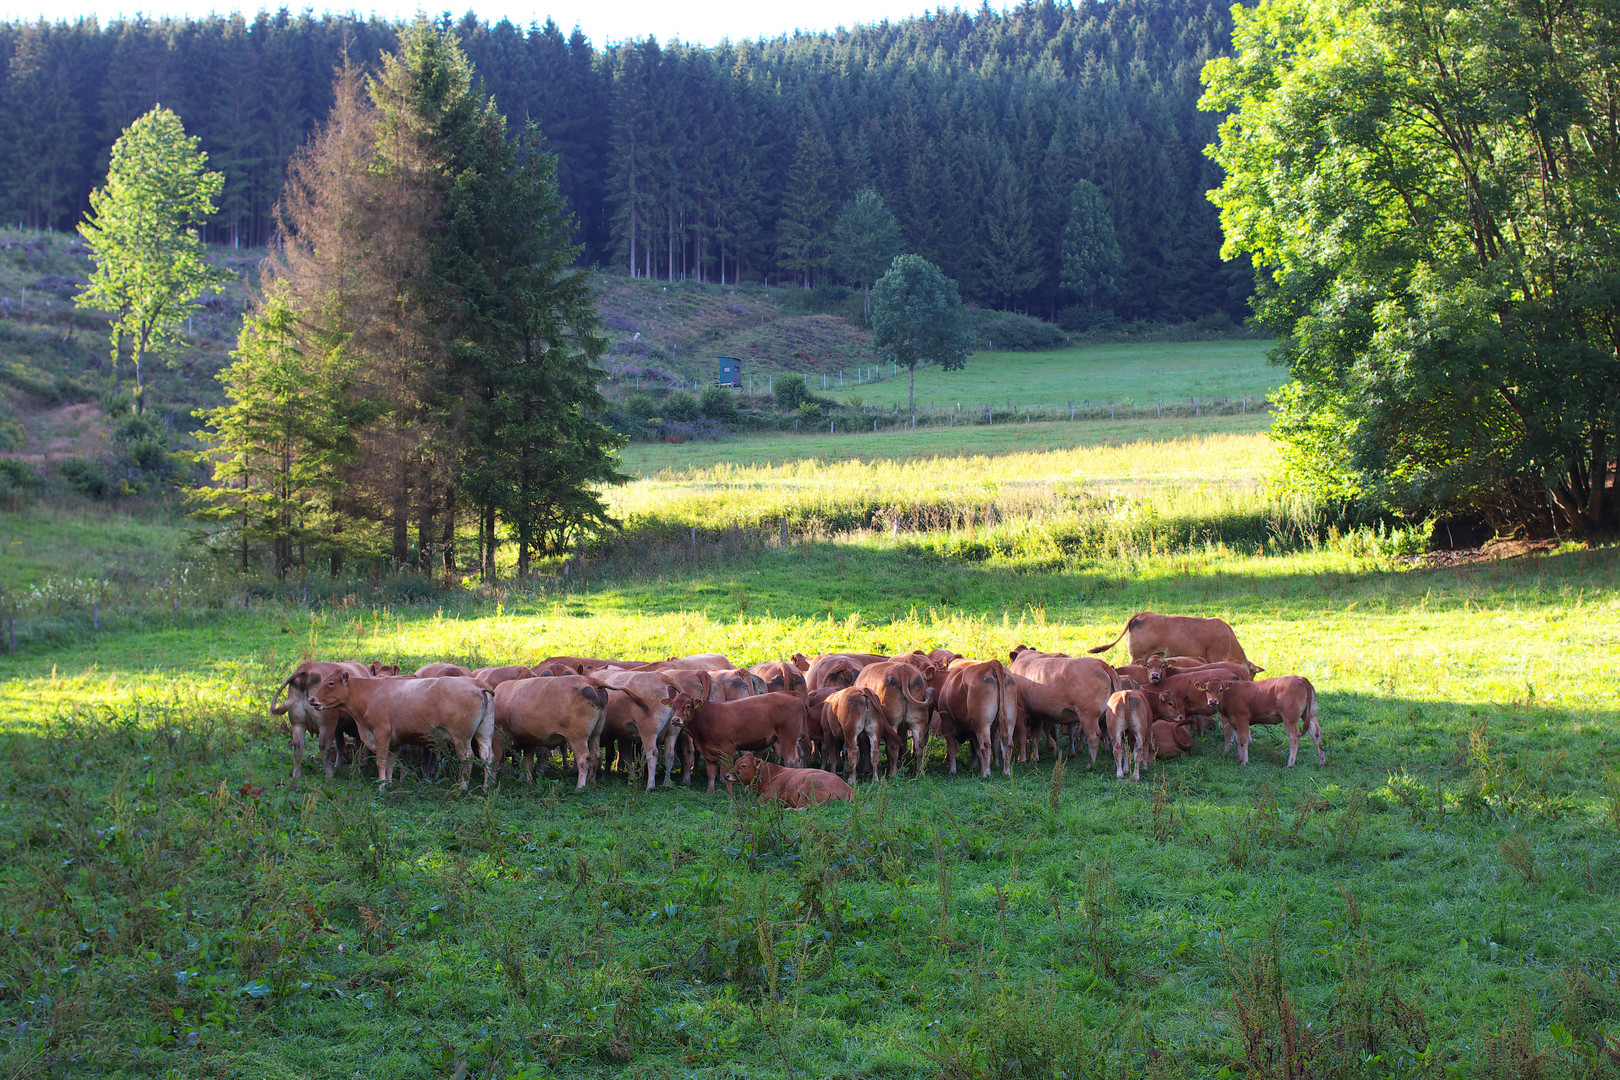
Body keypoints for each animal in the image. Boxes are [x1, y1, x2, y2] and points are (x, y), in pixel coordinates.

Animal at [309, 670, 492, 790]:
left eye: (330, 683)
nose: (312, 699)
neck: (370, 693)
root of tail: (475, 682)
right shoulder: (395, 742)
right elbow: (391, 762)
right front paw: (389, 783)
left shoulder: (381, 734)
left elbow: (382, 761)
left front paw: (381, 787)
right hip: (484, 734)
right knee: (488, 757)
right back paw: (486, 788)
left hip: (461, 737)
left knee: (467, 758)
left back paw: (462, 787)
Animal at [660, 693, 806, 793]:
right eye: (673, 706)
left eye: (688, 706)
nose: (675, 719)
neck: (707, 718)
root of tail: (791, 694)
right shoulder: (708, 751)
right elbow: (711, 773)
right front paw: (709, 792)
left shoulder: (728, 749)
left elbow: (726, 772)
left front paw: (730, 793)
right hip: (794, 740)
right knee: (799, 758)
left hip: (788, 738)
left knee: (790, 761)